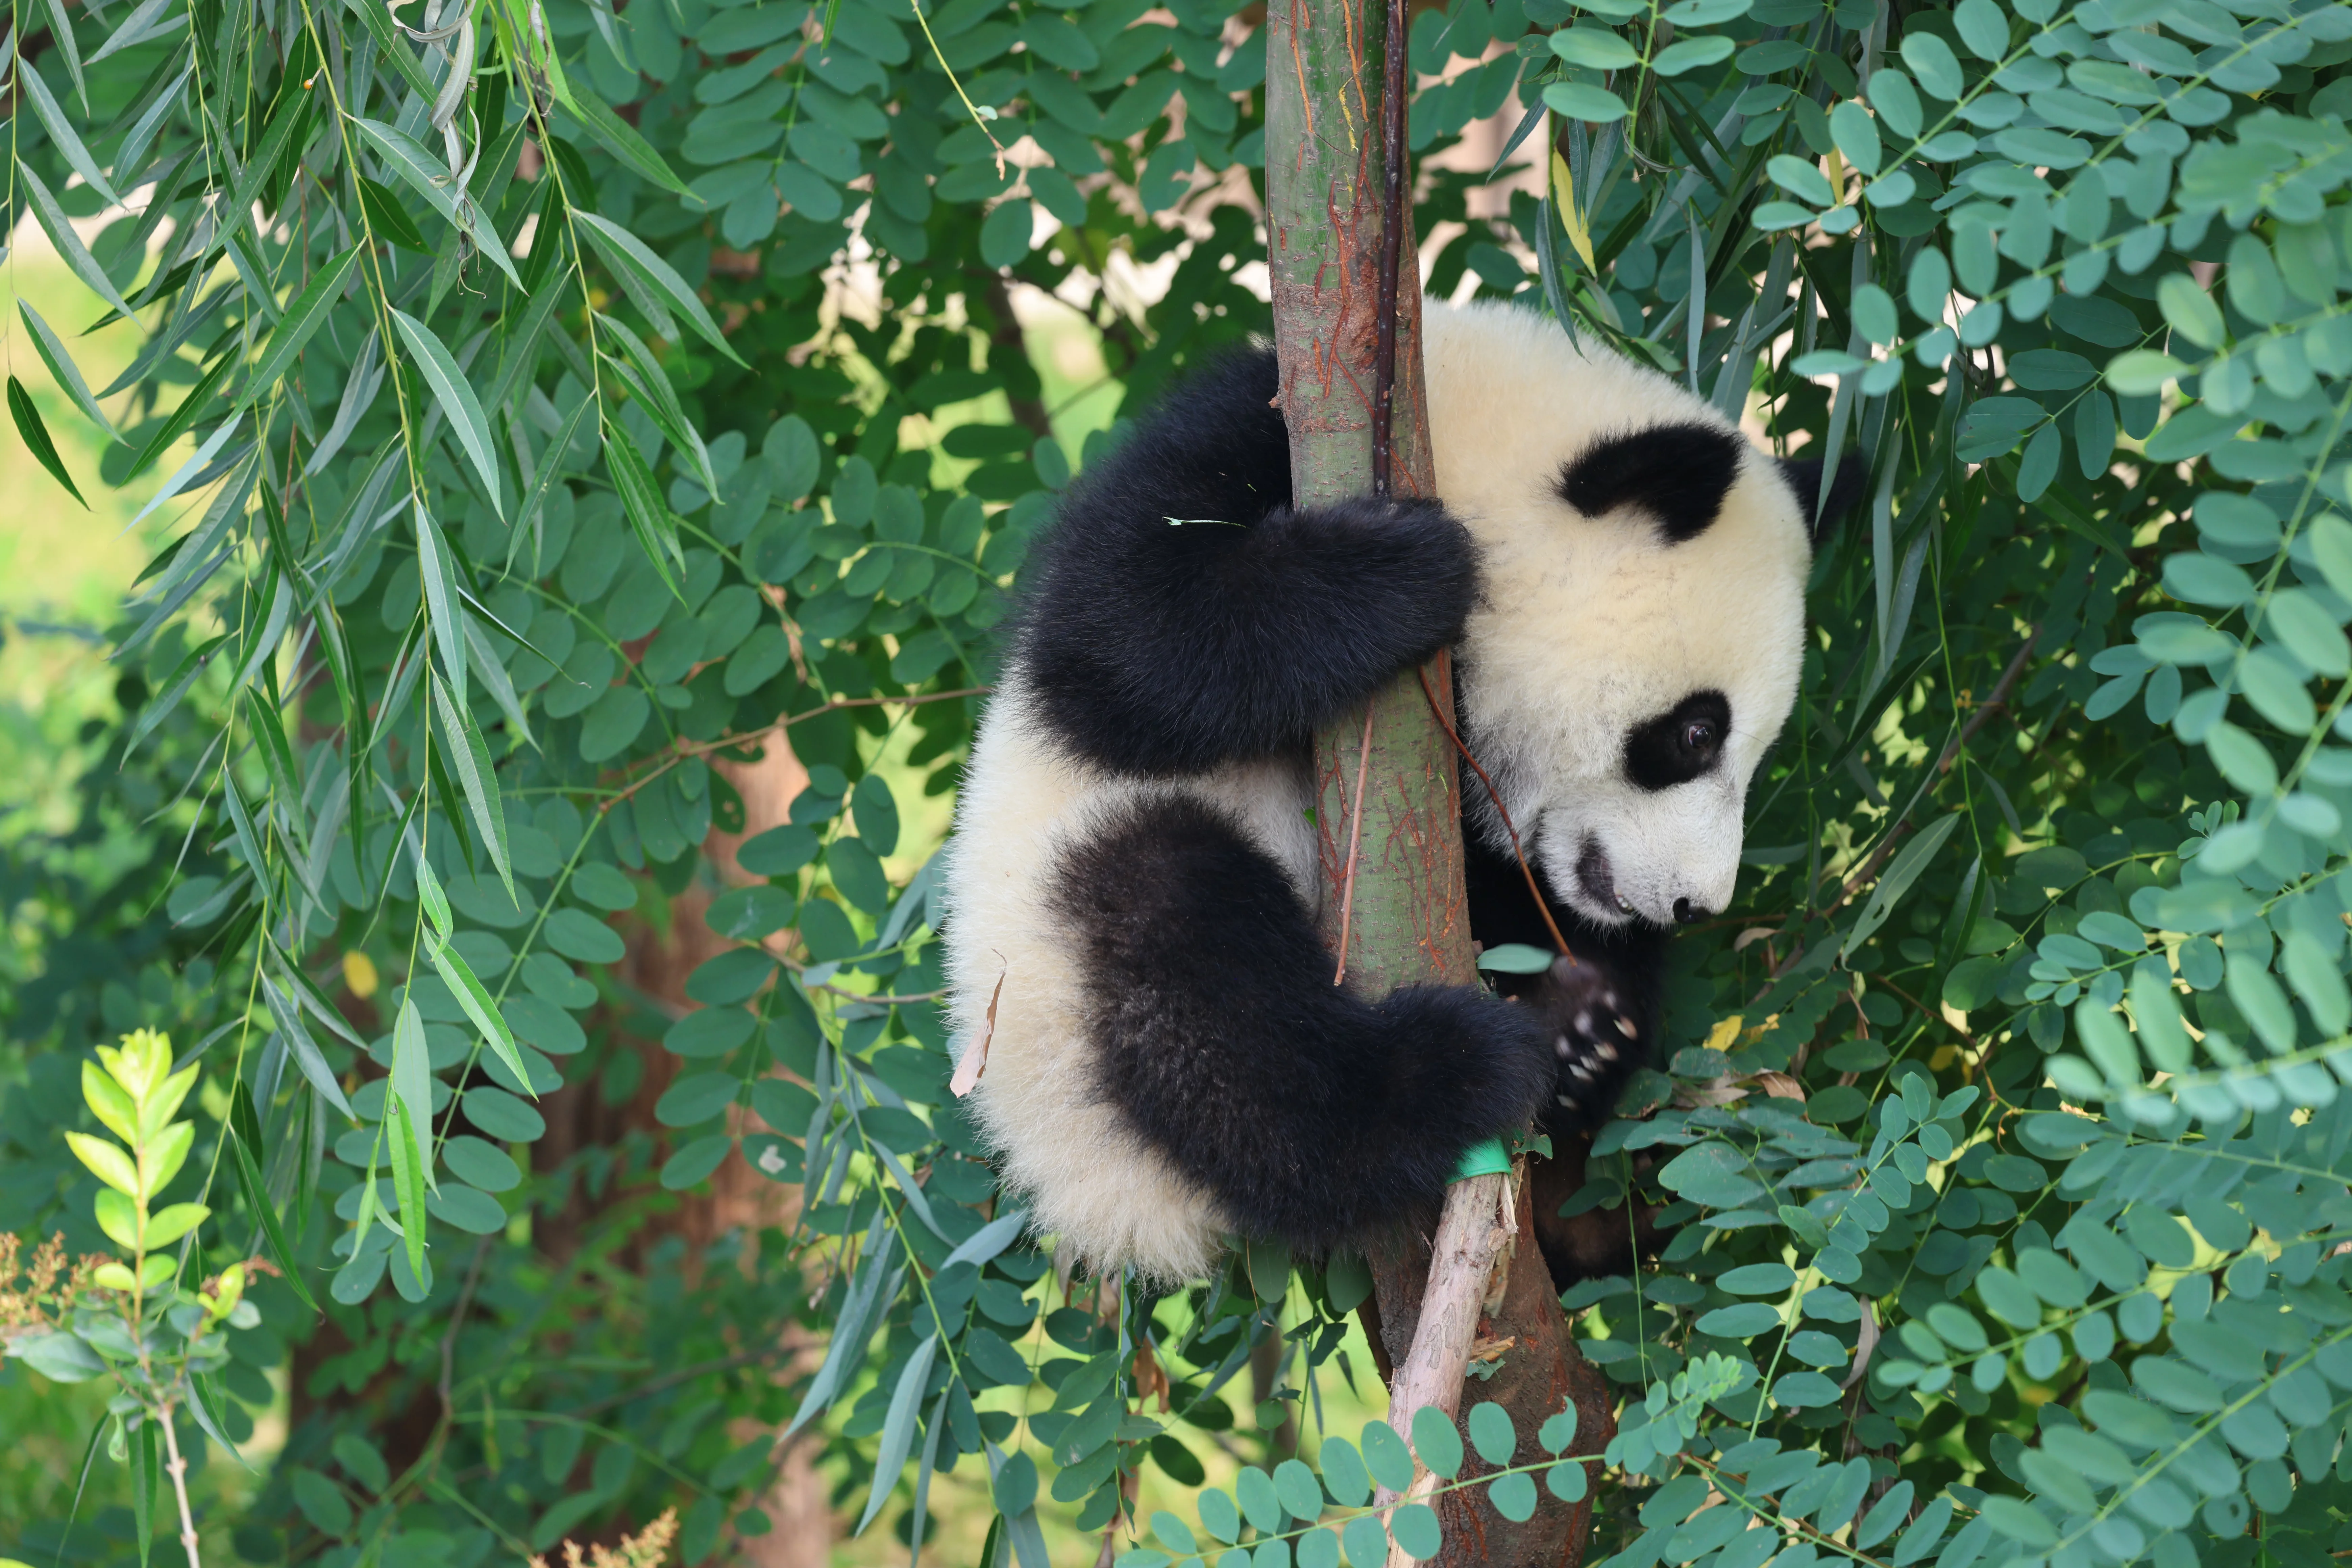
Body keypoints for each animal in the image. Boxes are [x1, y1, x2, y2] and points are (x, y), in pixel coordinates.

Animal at [939, 296, 1859, 1288]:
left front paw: (1591, 1029)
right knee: (1187, 959)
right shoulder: (1248, 430)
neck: (1444, 423)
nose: (1696, 903)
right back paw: (1440, 1078)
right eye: (1695, 734)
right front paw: (1401, 573)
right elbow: (1119, 636)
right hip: (1047, 995)